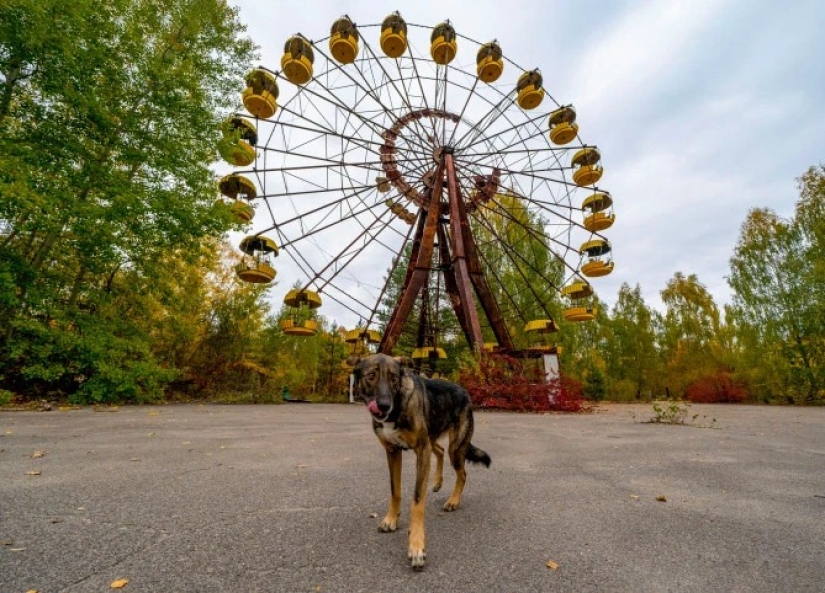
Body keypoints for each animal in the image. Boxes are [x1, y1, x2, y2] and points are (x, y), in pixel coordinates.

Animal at [350, 352, 490, 568]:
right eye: (371, 375)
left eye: (393, 377)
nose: (384, 405)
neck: (398, 405)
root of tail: (463, 390)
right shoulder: (393, 452)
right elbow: (396, 491)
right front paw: (392, 519)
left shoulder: (422, 451)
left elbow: (417, 500)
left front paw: (416, 546)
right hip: (433, 439)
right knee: (439, 451)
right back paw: (437, 482)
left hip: (456, 448)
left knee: (462, 472)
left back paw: (453, 500)